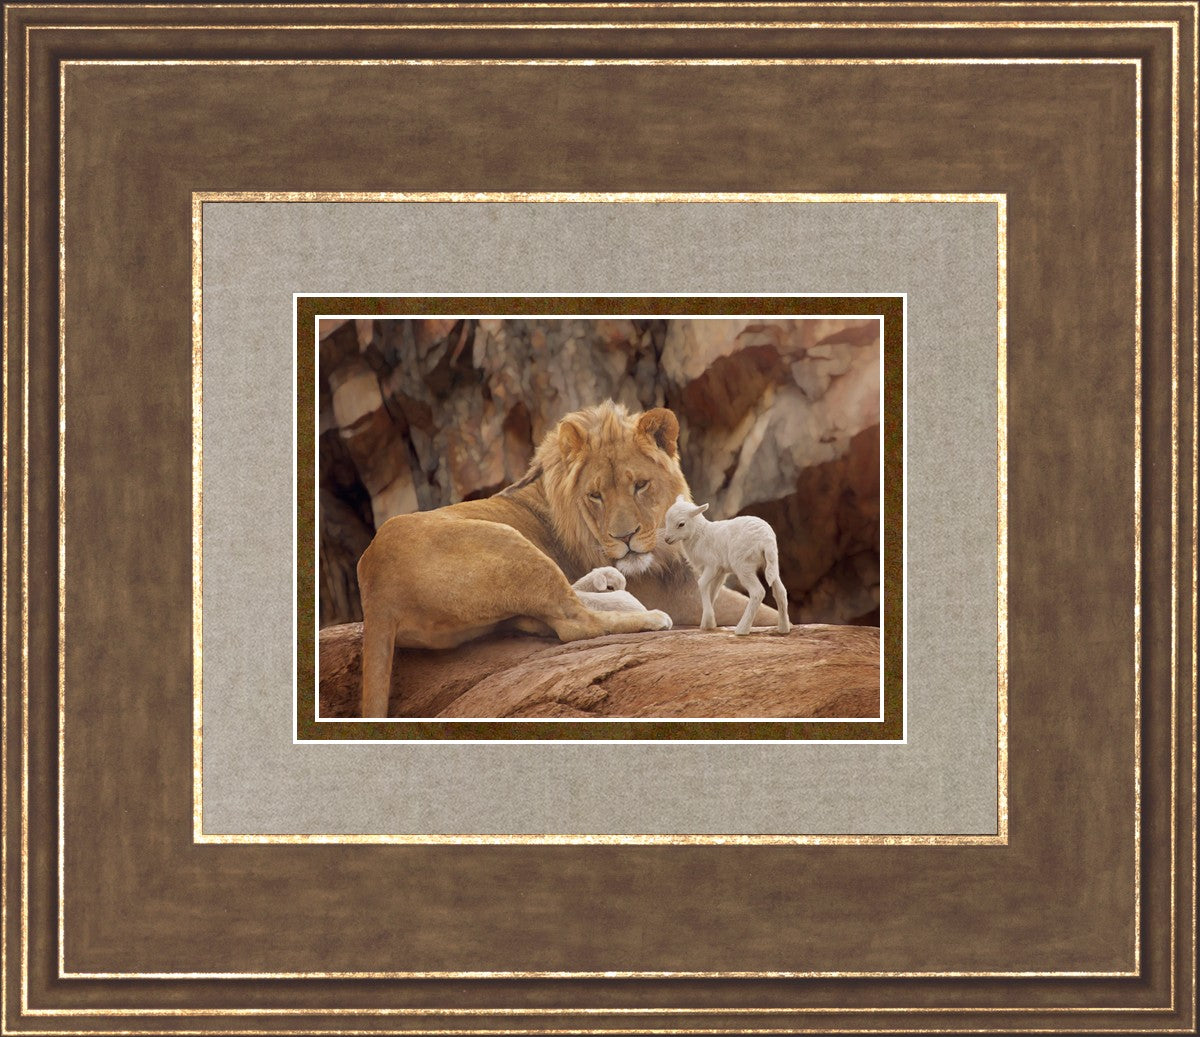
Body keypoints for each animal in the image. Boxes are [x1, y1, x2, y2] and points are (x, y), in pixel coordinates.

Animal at [662, 496, 791, 636]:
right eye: (666, 519)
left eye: (681, 524)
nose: (667, 539)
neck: (700, 535)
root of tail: (766, 539)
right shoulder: (720, 572)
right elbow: (713, 592)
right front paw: (707, 623)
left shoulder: (712, 565)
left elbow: (702, 584)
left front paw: (708, 620)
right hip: (771, 562)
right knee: (780, 591)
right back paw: (783, 628)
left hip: (743, 564)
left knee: (758, 592)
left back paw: (742, 629)